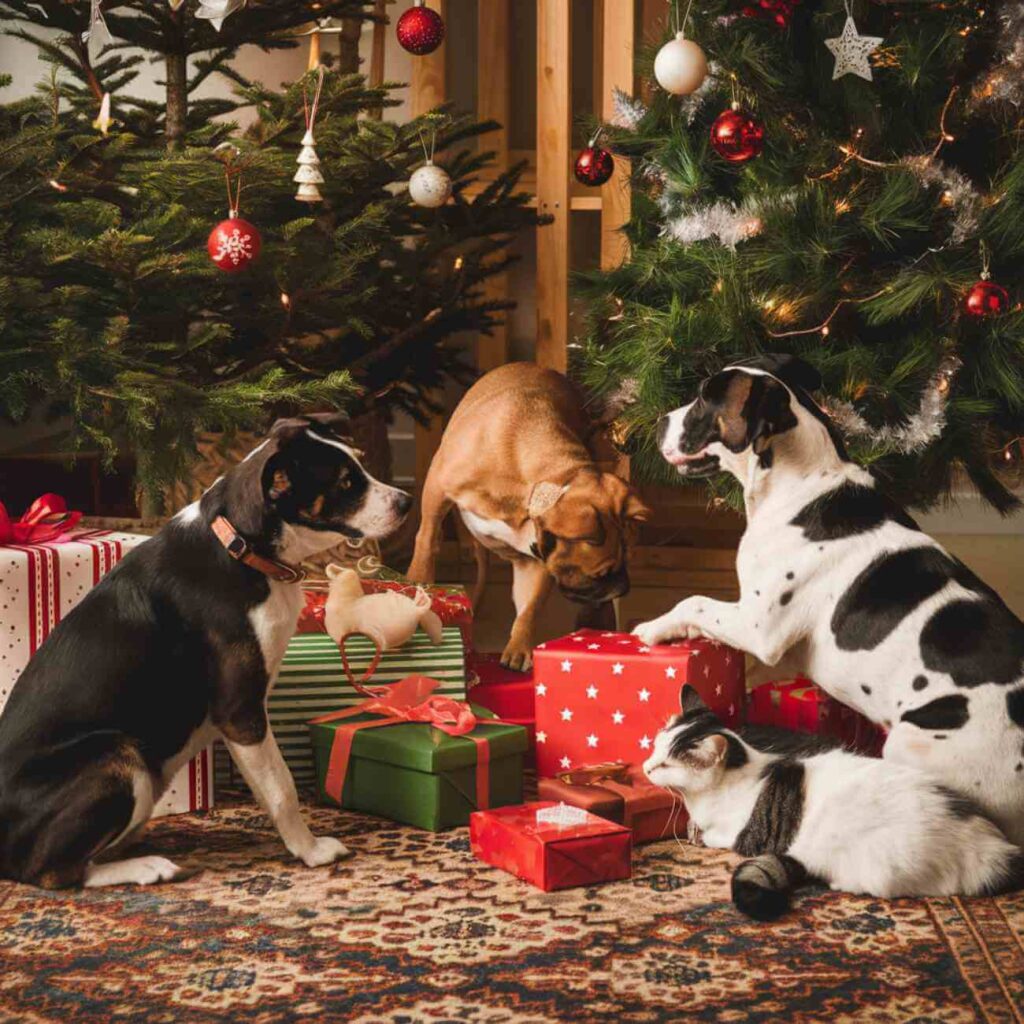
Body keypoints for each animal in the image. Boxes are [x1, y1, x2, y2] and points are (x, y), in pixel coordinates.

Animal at [1, 415, 407, 888]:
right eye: (345, 482)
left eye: (360, 463)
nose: (406, 501)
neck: (242, 549)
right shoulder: (239, 710)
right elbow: (281, 788)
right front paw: (310, 850)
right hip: (118, 758)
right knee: (52, 871)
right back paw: (148, 866)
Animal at [407, 362, 647, 671]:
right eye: (601, 573)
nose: (623, 588)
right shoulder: (437, 490)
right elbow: (426, 540)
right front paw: (418, 582)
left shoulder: (534, 563)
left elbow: (528, 610)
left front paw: (519, 648)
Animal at [630, 358, 1024, 847]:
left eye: (704, 399)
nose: (659, 421)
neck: (799, 484)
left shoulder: (759, 628)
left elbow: (694, 600)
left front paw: (653, 627)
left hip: (912, 744)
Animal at [643, 688, 1019, 921]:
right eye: (656, 747)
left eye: (666, 764)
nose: (646, 766)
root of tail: (996, 849)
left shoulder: (747, 836)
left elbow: (715, 836)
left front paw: (698, 833)